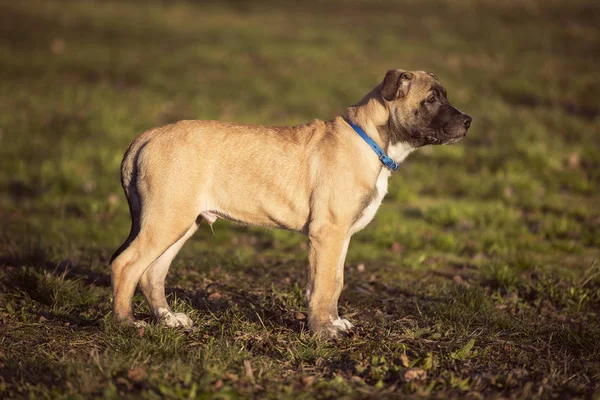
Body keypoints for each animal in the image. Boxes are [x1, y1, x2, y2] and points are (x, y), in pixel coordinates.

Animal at [110, 69, 472, 338]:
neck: (371, 141)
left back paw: (168, 319)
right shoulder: (327, 233)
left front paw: (334, 322)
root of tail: (148, 136)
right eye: (431, 99)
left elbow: (335, 282)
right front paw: (323, 331)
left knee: (152, 272)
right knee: (126, 264)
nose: (468, 121)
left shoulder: (340, 236)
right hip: (166, 218)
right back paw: (126, 323)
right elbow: (323, 285)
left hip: (180, 221)